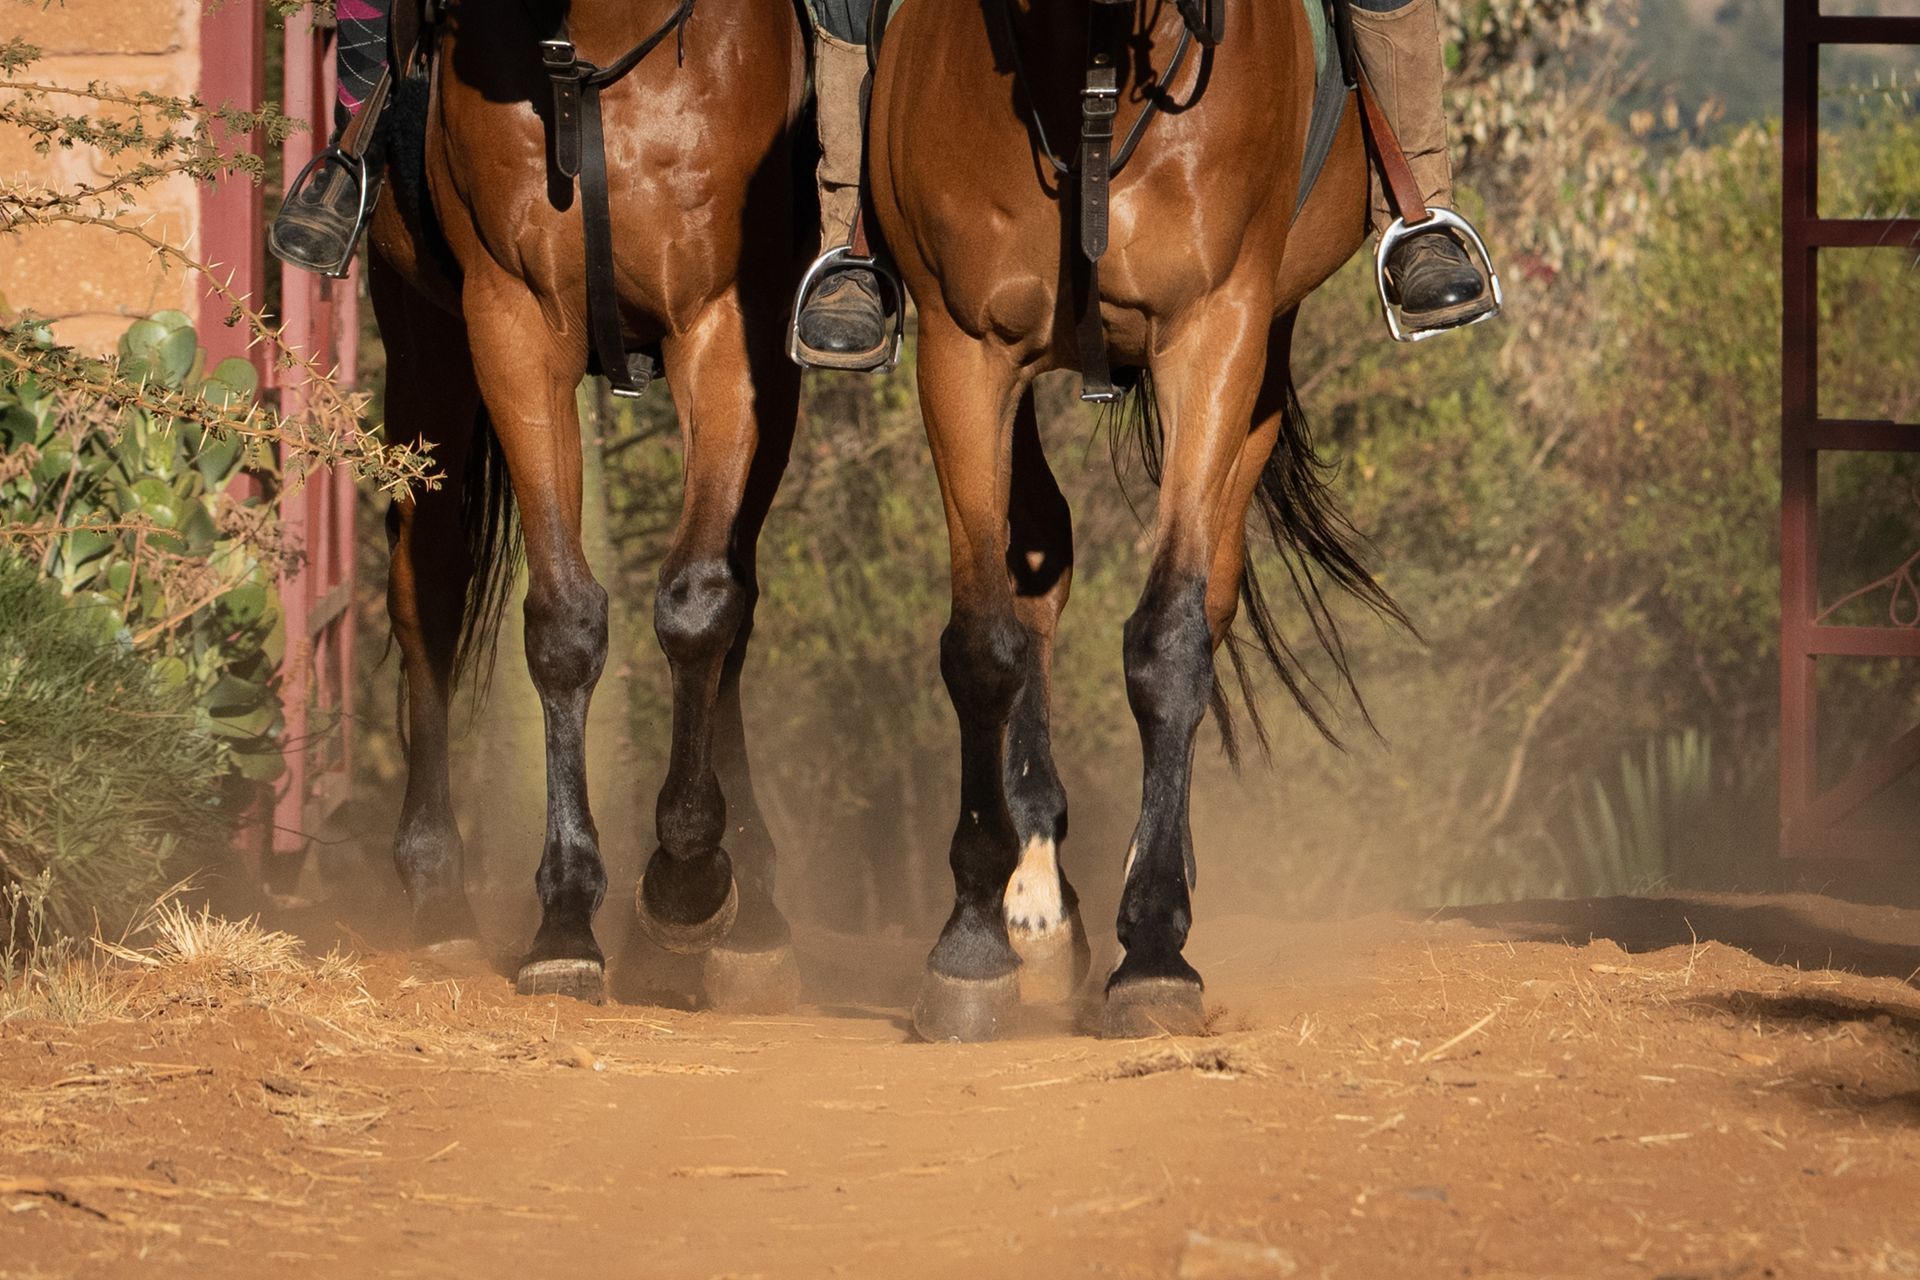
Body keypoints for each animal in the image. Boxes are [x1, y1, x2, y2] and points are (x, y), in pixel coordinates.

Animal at [365, 0, 810, 1008]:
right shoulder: (513, 328)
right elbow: (563, 624)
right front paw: (567, 916)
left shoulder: (725, 327)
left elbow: (701, 604)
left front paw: (687, 880)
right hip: (424, 354)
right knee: (428, 588)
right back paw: (435, 889)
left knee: (736, 596)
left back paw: (756, 901)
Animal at [868, 0, 1405, 1040]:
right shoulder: (966, 349)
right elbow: (985, 643)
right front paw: (973, 940)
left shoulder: (1216, 329)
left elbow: (1170, 639)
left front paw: (1154, 945)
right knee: (1038, 575)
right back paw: (1036, 899)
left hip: (1262, 352)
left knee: (1210, 593)